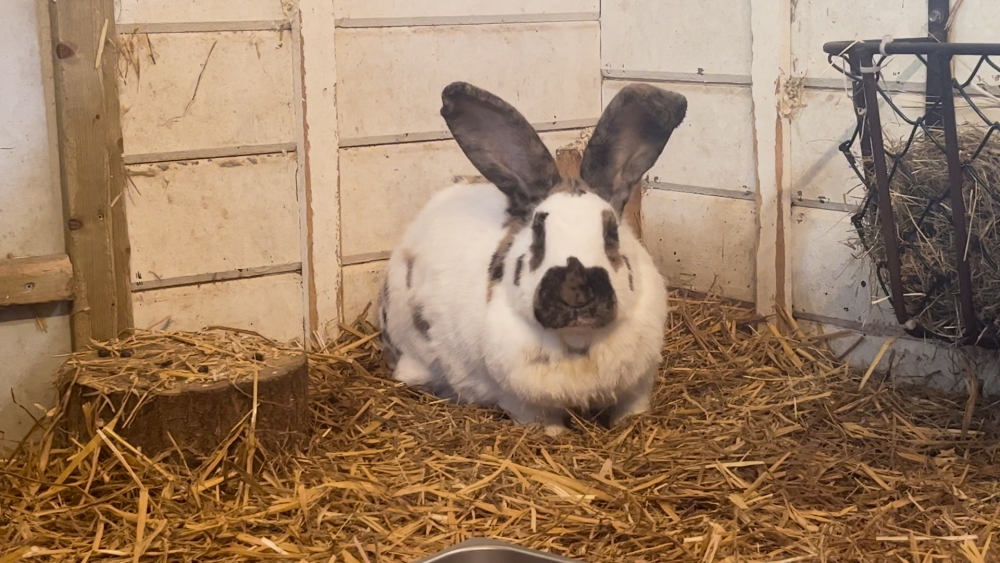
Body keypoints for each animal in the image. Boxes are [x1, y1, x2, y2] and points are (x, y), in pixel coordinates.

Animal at [376, 82, 688, 436]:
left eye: (611, 233)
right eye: (538, 234)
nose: (575, 289)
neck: (578, 341)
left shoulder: (638, 386)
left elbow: (632, 410)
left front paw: (631, 425)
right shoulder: (522, 402)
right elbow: (544, 423)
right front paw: (557, 435)